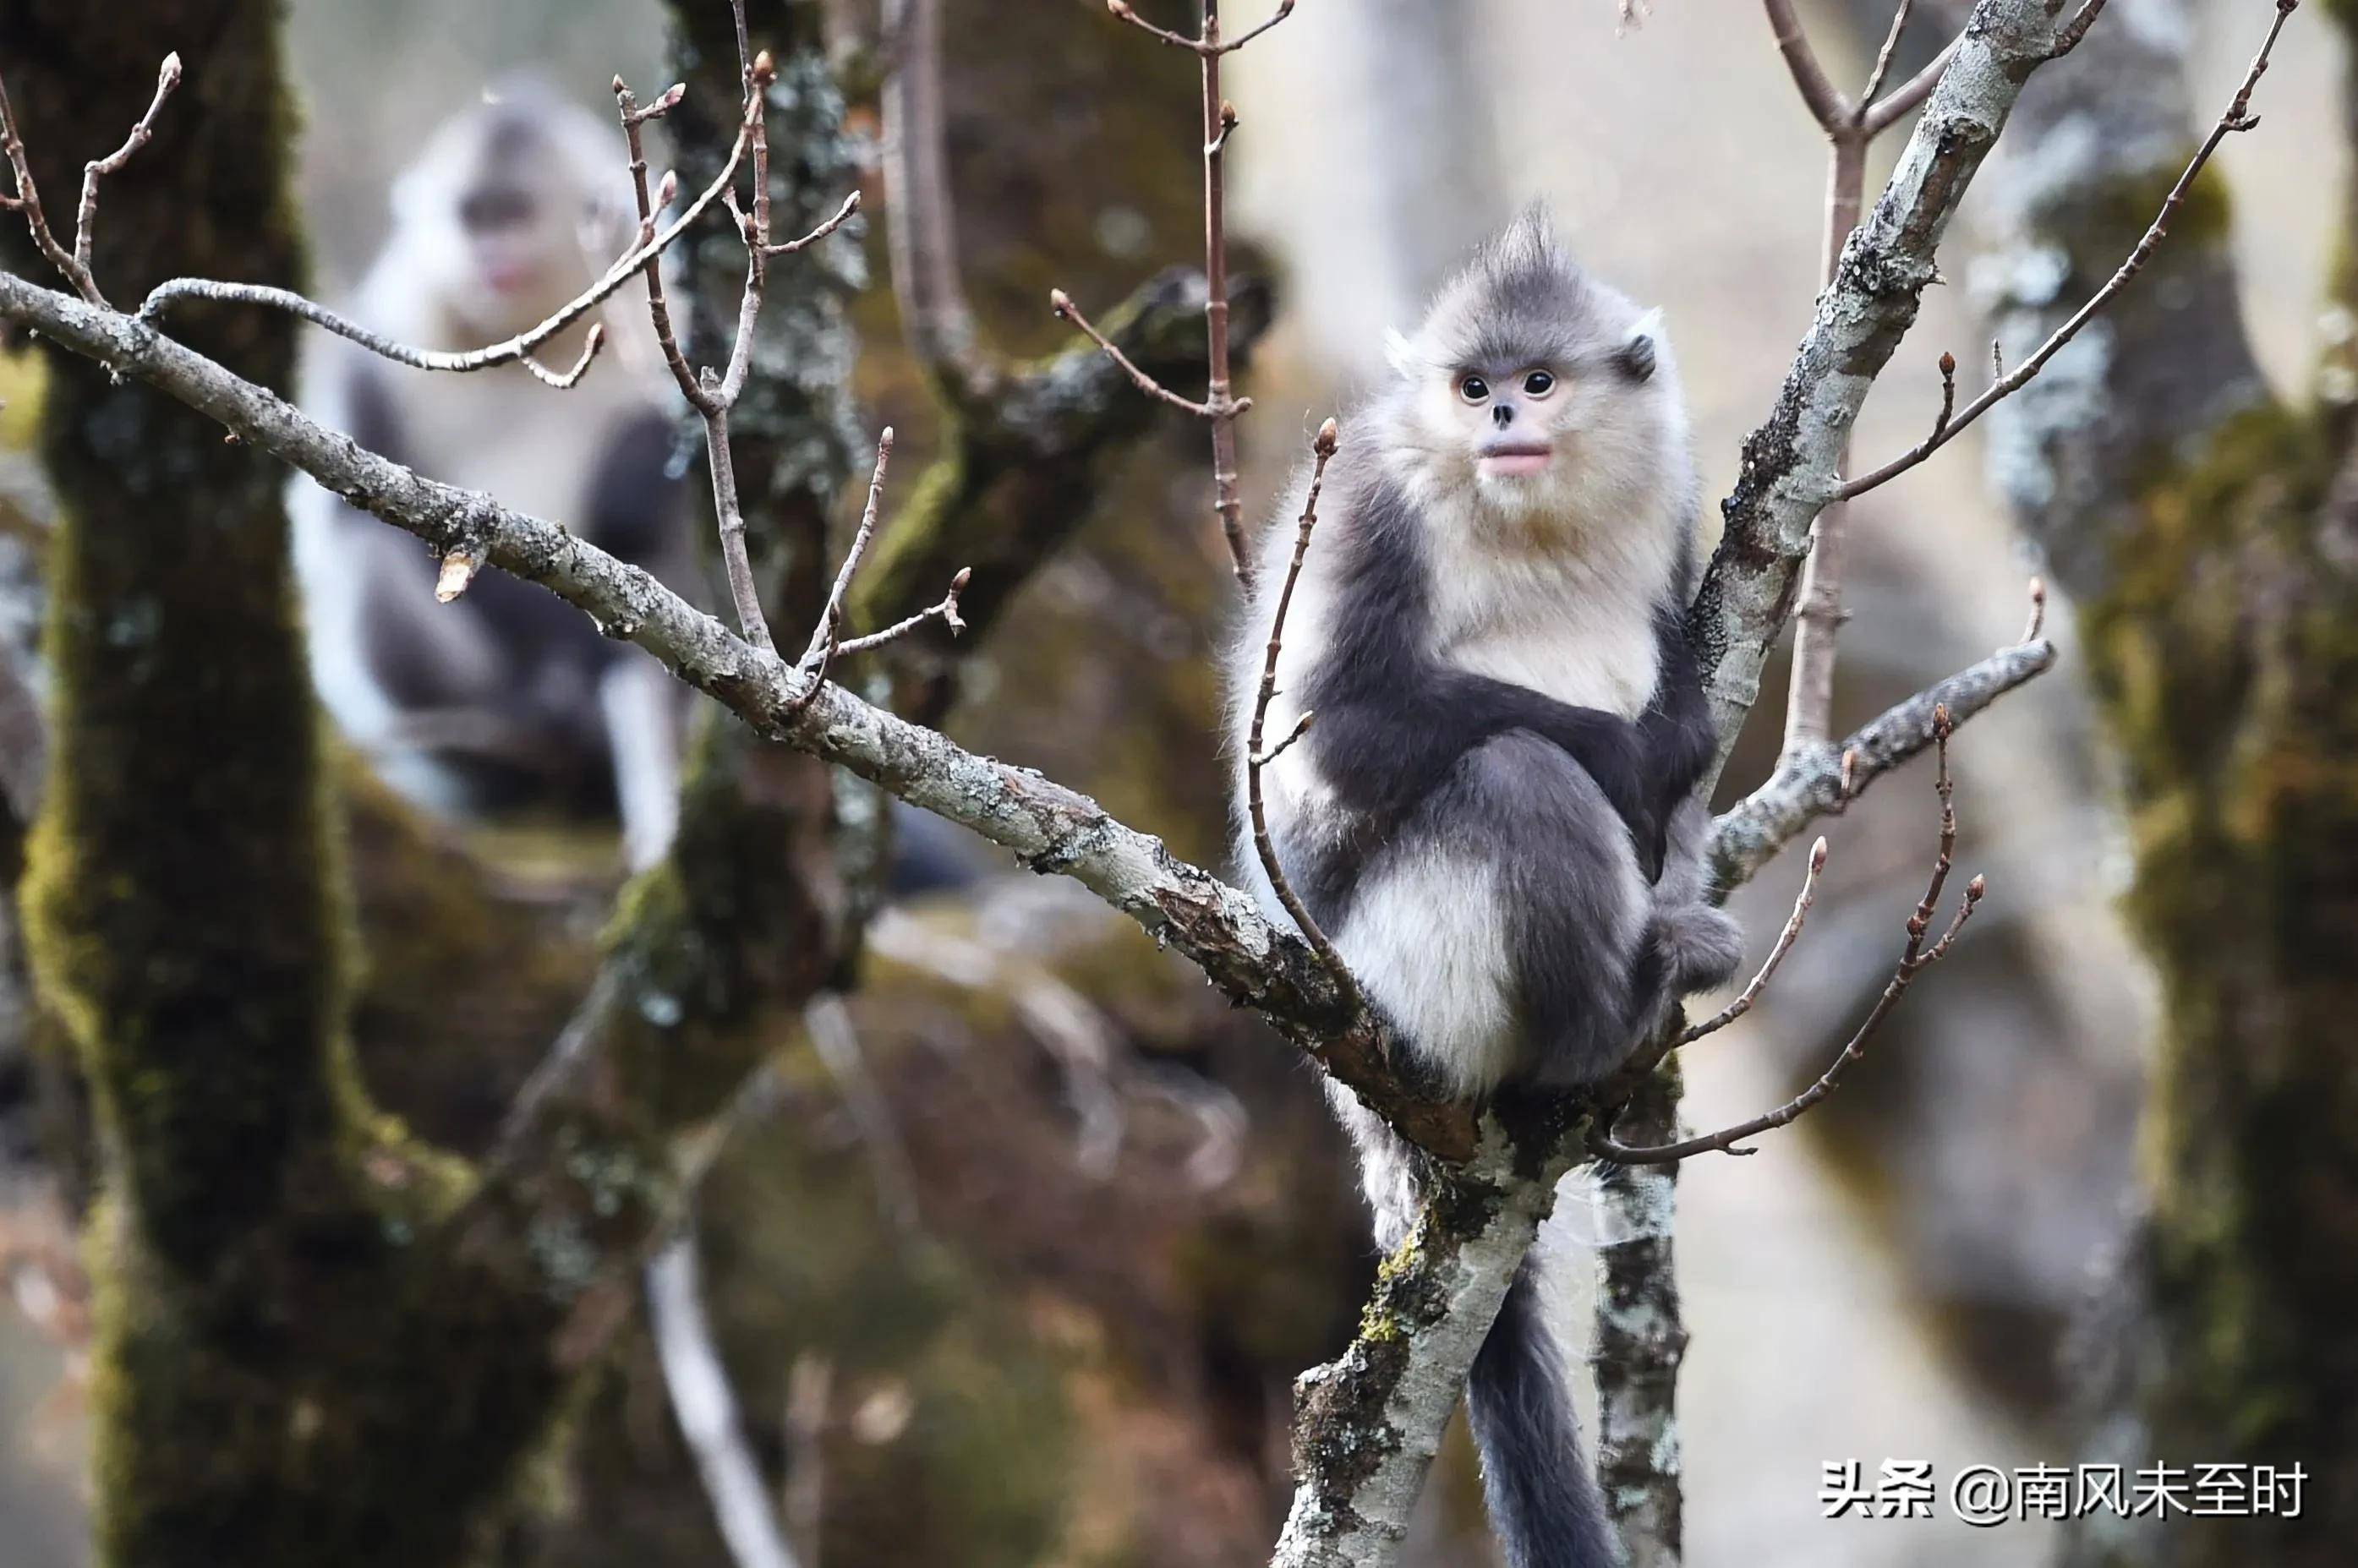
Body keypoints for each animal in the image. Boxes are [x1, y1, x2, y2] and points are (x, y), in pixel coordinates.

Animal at [292, 79, 688, 867]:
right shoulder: (386, 332)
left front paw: (634, 469)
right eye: (471, 216)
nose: (487, 253)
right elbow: (346, 506)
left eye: (513, 214)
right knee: (362, 555)